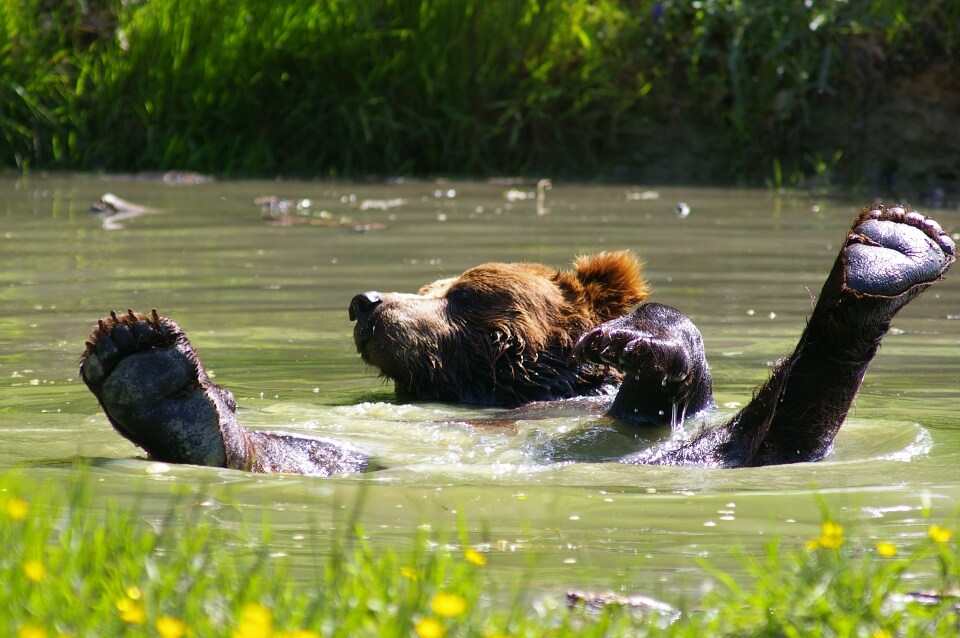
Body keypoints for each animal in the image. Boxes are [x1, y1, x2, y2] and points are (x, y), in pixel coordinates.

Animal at [80, 205, 952, 476]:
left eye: (462, 292)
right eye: (433, 284)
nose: (368, 301)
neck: (504, 388)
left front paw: (640, 343)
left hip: (710, 449)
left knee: (780, 427)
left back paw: (889, 249)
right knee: (299, 451)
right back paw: (153, 374)